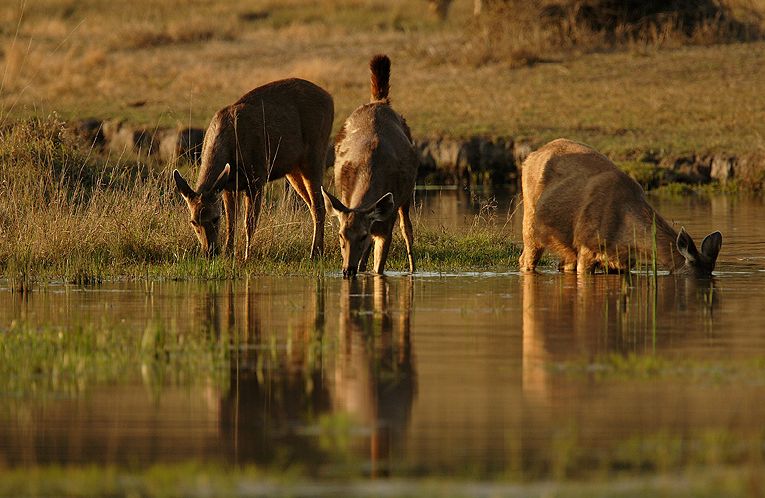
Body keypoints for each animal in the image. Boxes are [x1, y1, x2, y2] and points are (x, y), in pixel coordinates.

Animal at [174, 78, 334, 260]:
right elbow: (231, 221)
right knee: (312, 203)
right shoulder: (229, 185)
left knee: (319, 204)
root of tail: (330, 98)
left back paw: (315, 252)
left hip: (316, 152)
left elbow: (249, 222)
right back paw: (317, 250)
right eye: (193, 221)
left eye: (215, 218)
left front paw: (246, 255)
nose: (210, 252)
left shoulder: (256, 176)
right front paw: (229, 253)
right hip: (293, 167)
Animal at [322, 56, 418, 280]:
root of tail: (379, 101)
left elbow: (379, 268)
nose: (346, 270)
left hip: (406, 196)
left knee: (407, 228)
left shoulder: (386, 223)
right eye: (340, 235)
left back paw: (412, 269)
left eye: (362, 235)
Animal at [520, 138, 724, 276]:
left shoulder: (623, 262)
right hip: (530, 221)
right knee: (525, 259)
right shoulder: (586, 245)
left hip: (566, 246)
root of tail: (530, 155)